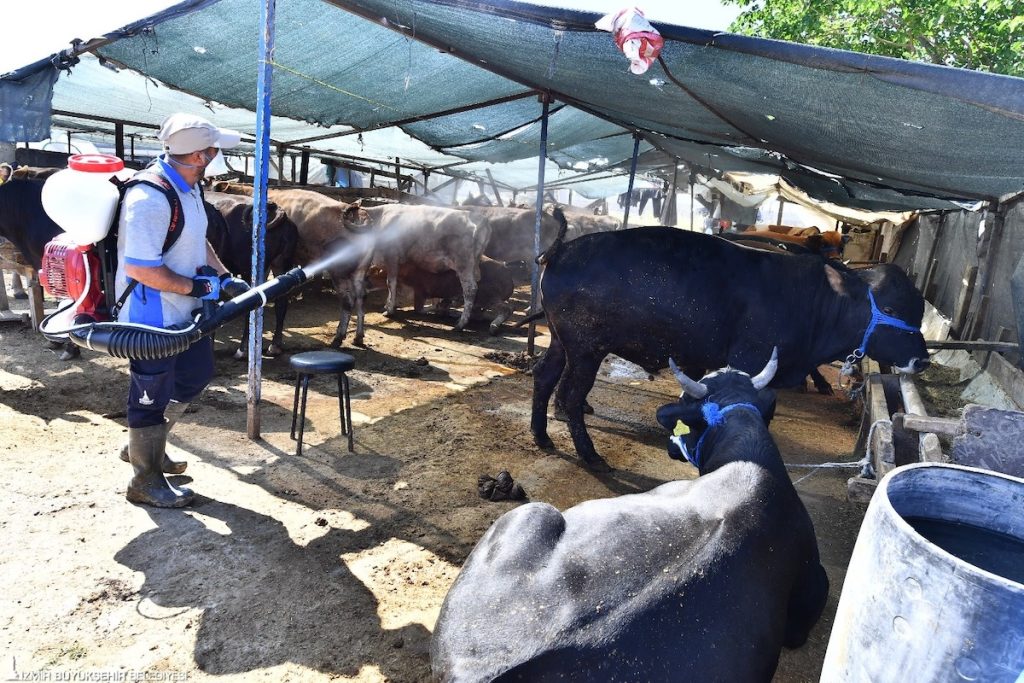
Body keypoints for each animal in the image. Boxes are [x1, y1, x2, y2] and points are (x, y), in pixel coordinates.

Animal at [532, 227, 933, 473]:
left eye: (919, 311)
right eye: (892, 308)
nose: (923, 359)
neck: (813, 303)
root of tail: (562, 249)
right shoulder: (750, 362)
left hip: (560, 343)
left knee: (544, 376)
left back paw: (542, 436)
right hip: (586, 349)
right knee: (571, 396)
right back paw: (590, 455)